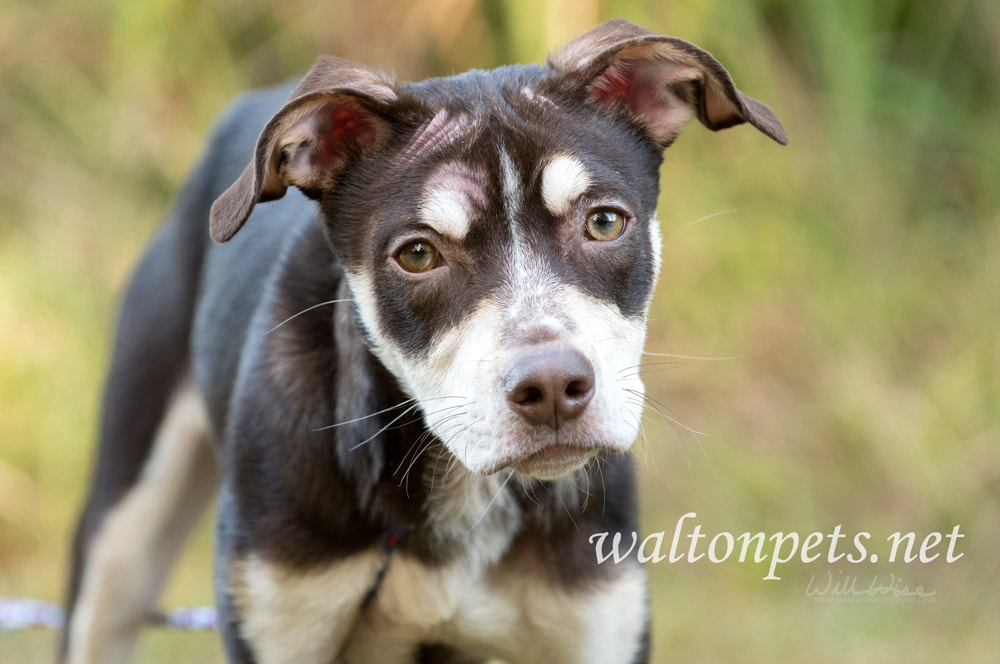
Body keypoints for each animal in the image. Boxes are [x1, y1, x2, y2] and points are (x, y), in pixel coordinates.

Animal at [62, 19, 784, 664]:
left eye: (605, 222)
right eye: (417, 254)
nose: (553, 388)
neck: (460, 490)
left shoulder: (596, 623)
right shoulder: (280, 614)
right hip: (116, 546)